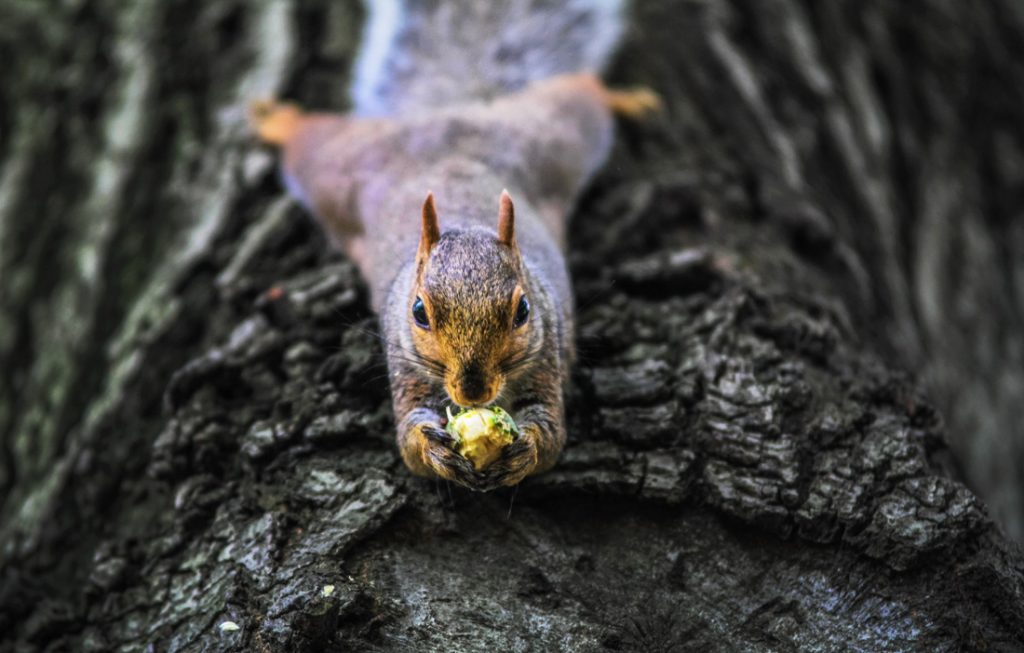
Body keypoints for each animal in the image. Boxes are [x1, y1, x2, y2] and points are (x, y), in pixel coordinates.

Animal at [251, 0, 659, 491]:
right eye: (419, 312)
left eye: (523, 311)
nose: (473, 392)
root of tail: (449, 114)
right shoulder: (406, 367)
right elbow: (409, 443)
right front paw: (433, 449)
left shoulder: (547, 356)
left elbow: (552, 435)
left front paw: (525, 449)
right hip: (338, 167)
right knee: (308, 139)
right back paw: (277, 119)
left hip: (555, 136)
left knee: (582, 91)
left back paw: (628, 99)